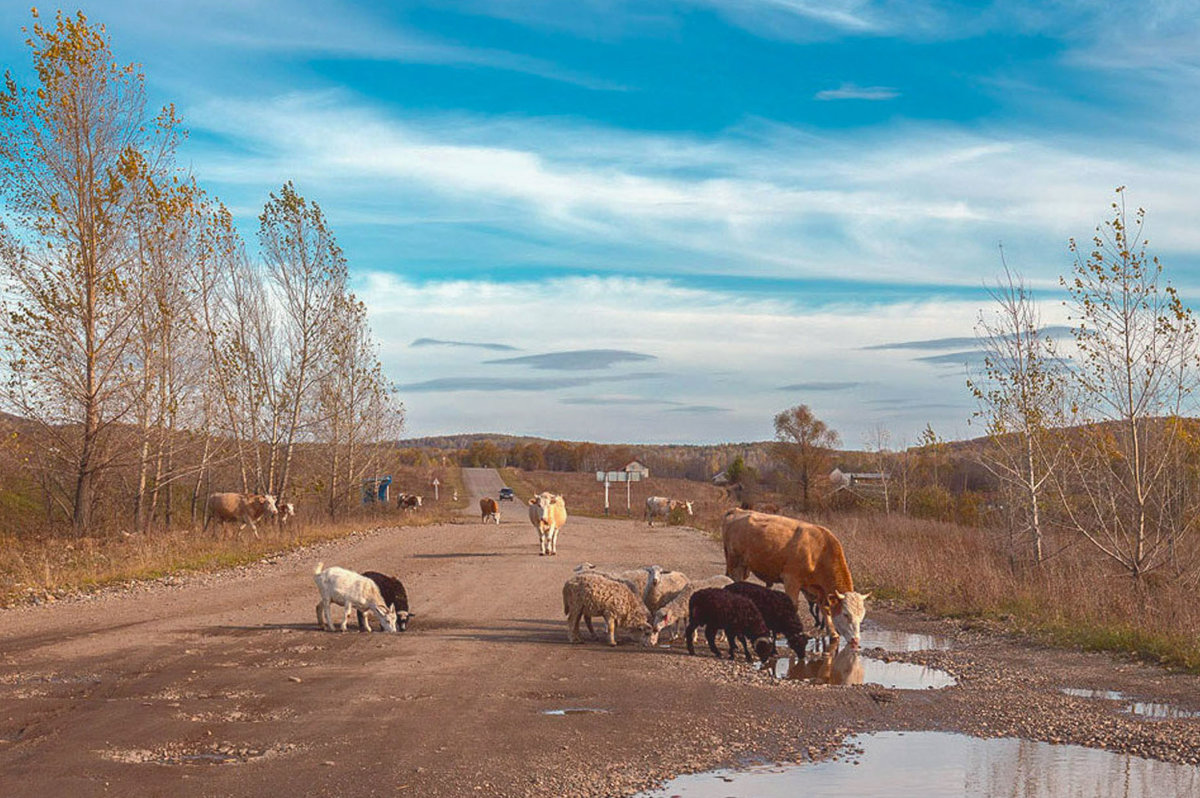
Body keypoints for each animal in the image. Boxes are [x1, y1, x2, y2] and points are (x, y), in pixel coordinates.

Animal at [715, 511, 868, 648]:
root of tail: (738, 511)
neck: (819, 551)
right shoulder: (791, 580)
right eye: (846, 614)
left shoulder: (819, 590)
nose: (856, 640)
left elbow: (825, 609)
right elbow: (794, 606)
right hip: (735, 564)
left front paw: (833, 633)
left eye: (861, 617)